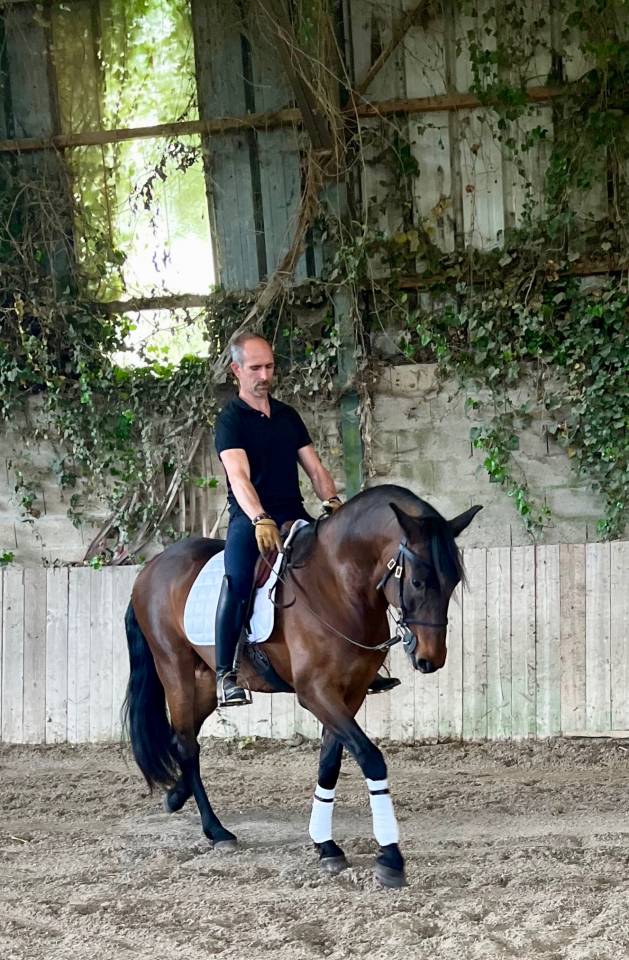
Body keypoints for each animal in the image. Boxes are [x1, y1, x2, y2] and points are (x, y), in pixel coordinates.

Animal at [122, 484, 482, 888]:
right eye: (418, 580)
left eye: (453, 582)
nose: (430, 659)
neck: (338, 585)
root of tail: (149, 568)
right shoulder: (316, 693)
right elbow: (370, 757)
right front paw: (390, 857)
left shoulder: (351, 693)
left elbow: (330, 763)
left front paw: (326, 846)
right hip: (176, 671)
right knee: (185, 743)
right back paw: (216, 831)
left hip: (202, 681)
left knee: (182, 739)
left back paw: (175, 797)